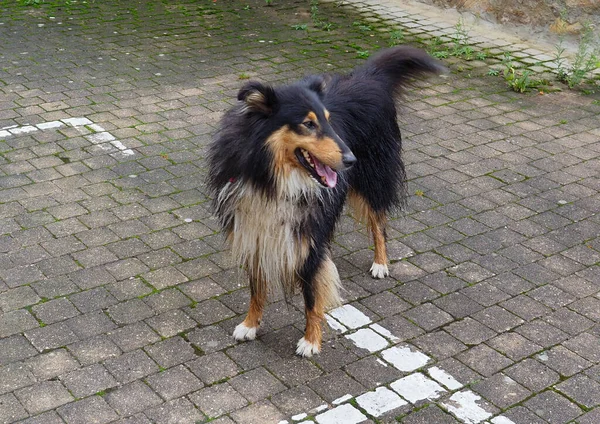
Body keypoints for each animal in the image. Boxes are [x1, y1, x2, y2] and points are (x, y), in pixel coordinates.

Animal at [209, 46, 442, 356]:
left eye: (328, 121)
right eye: (308, 124)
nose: (351, 159)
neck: (272, 178)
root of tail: (369, 77)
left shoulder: (310, 240)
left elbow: (311, 296)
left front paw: (310, 341)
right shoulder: (253, 229)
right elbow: (257, 288)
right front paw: (250, 325)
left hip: (373, 180)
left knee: (379, 221)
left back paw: (381, 263)